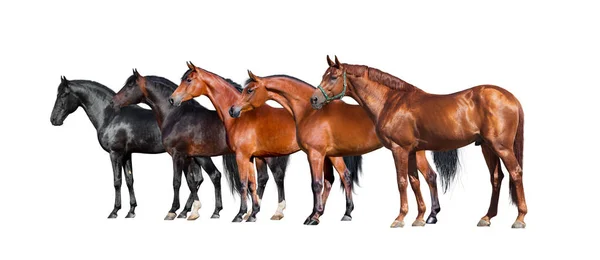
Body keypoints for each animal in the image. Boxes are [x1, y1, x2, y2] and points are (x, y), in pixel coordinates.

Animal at [49, 75, 218, 219]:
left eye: (64, 94)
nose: (53, 119)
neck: (110, 115)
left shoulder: (115, 153)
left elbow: (117, 181)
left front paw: (114, 211)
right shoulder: (126, 154)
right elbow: (130, 180)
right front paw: (131, 211)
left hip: (200, 156)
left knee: (213, 175)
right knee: (198, 179)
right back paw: (185, 211)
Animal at [113, 70, 292, 220]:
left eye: (130, 85)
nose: (115, 101)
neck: (177, 116)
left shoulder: (178, 155)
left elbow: (177, 182)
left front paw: (173, 211)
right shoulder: (189, 157)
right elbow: (192, 182)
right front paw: (191, 211)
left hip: (267, 155)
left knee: (277, 176)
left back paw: (276, 211)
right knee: (262, 178)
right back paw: (251, 212)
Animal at [171, 61, 364, 223]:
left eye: (188, 79)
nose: (173, 99)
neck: (241, 118)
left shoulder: (242, 155)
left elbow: (244, 183)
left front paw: (240, 214)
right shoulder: (252, 156)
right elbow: (253, 184)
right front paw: (253, 213)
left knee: (343, 176)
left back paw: (343, 213)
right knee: (331, 179)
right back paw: (321, 214)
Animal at [230, 71, 460, 225]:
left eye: (250, 90)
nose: (233, 110)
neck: (309, 111)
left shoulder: (315, 154)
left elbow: (316, 184)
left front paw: (313, 216)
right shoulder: (330, 155)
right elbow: (335, 179)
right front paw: (337, 213)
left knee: (428, 177)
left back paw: (429, 216)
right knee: (430, 177)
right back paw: (431, 215)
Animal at [312, 55, 528, 229]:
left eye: (333, 76)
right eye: (324, 75)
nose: (314, 99)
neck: (391, 102)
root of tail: (511, 97)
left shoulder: (399, 150)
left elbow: (401, 182)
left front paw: (399, 218)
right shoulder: (412, 151)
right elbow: (415, 181)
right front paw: (419, 218)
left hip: (501, 147)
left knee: (516, 173)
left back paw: (520, 218)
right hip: (487, 147)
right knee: (496, 178)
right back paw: (487, 217)